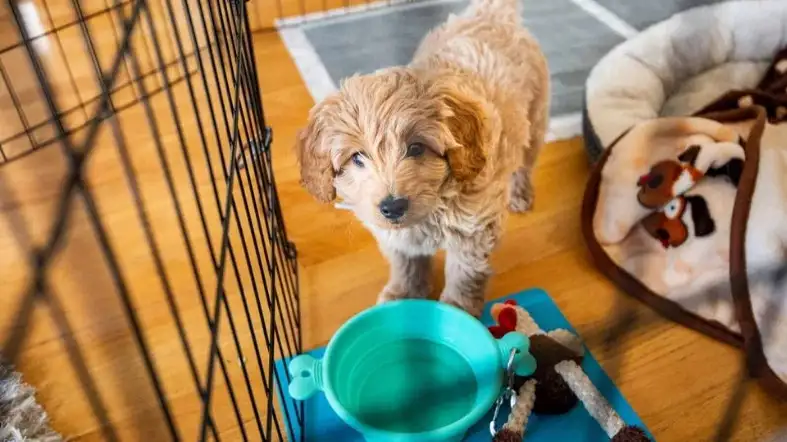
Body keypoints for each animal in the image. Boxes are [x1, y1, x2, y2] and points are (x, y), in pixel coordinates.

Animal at [296, 0, 548, 318]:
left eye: (416, 148)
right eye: (357, 157)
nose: (392, 207)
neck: (435, 204)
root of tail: (490, 14)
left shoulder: (473, 231)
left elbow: (464, 274)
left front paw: (458, 310)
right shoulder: (397, 238)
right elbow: (406, 263)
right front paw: (403, 293)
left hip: (536, 115)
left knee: (525, 163)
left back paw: (520, 193)